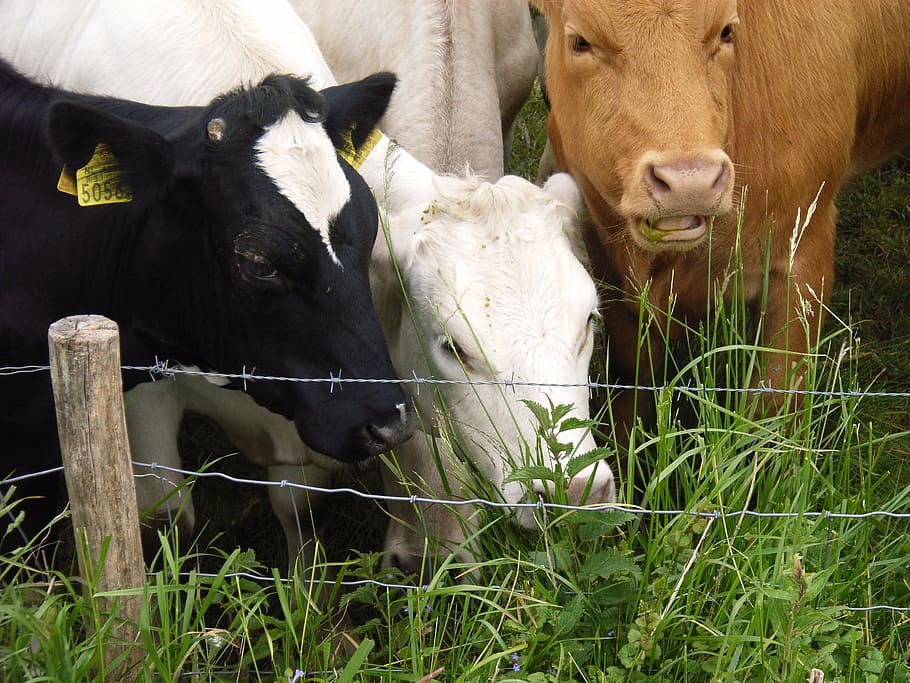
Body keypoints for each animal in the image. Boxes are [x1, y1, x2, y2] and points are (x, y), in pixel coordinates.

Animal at [533, 0, 910, 451]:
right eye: (581, 41)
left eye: (726, 31)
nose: (689, 181)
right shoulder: (610, 262)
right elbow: (631, 383)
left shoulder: (804, 254)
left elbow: (771, 414)